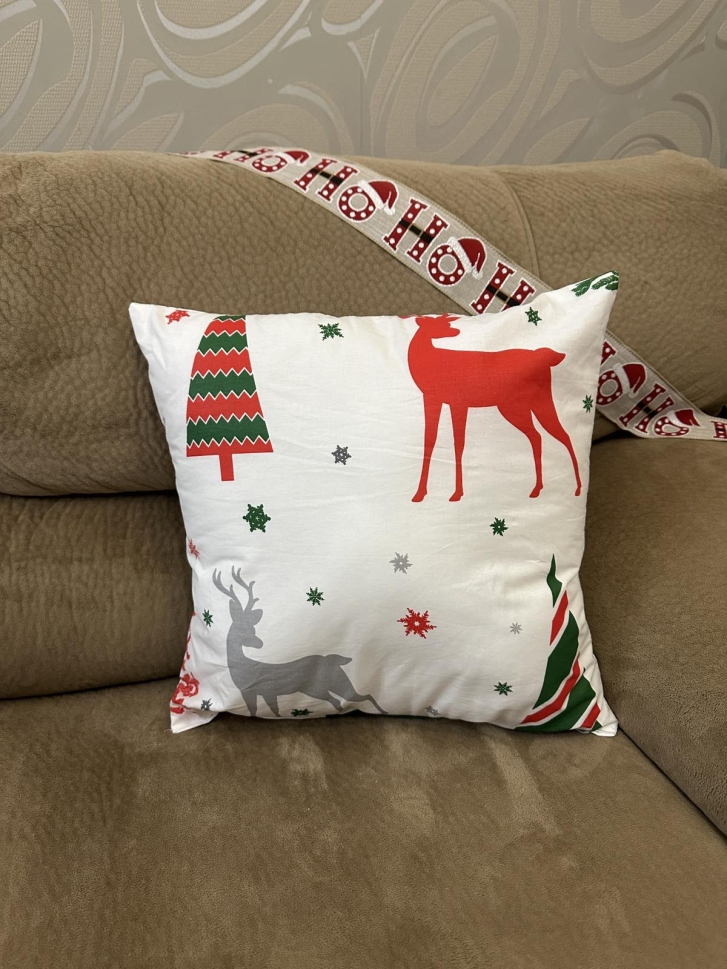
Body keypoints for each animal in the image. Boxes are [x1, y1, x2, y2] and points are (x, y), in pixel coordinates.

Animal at [212, 568, 387, 717]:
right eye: (245, 629)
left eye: (252, 628)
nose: (260, 643)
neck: (243, 668)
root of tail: (332, 660)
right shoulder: (257, 692)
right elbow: (267, 711)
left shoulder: (257, 690)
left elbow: (268, 711)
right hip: (320, 689)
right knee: (339, 701)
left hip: (334, 684)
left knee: (364, 695)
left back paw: (383, 711)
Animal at [407, 314, 582, 502]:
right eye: (438, 324)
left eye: (446, 324)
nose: (457, 331)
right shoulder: (432, 398)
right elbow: (429, 440)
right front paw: (420, 494)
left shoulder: (458, 401)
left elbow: (458, 443)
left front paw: (456, 493)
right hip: (519, 406)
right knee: (539, 436)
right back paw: (538, 489)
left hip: (527, 404)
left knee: (561, 435)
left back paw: (576, 488)